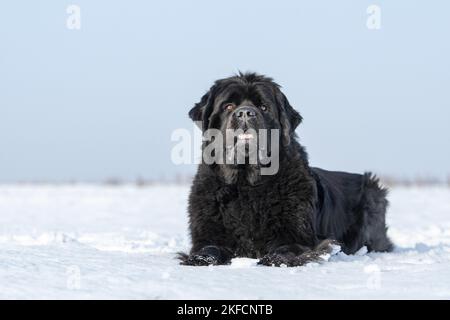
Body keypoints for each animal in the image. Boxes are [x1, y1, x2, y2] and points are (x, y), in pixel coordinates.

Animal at [178, 73, 392, 268]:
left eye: (263, 107)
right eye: (228, 106)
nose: (245, 113)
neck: (246, 184)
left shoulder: (296, 234)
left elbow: (288, 248)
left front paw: (276, 260)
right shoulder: (209, 231)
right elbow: (209, 247)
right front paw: (199, 259)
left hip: (372, 196)